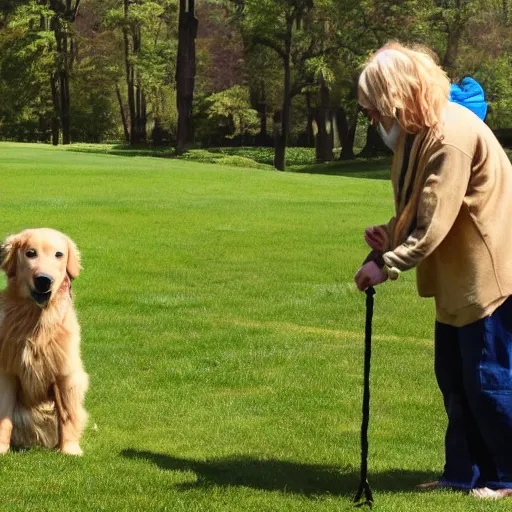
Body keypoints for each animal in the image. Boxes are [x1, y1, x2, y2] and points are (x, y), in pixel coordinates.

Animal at [0, 230, 88, 454]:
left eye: (59, 254)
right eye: (31, 253)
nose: (43, 280)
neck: (37, 320)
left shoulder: (65, 373)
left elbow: (68, 415)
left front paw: (70, 450)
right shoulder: (7, 371)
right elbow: (3, 417)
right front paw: (1, 449)